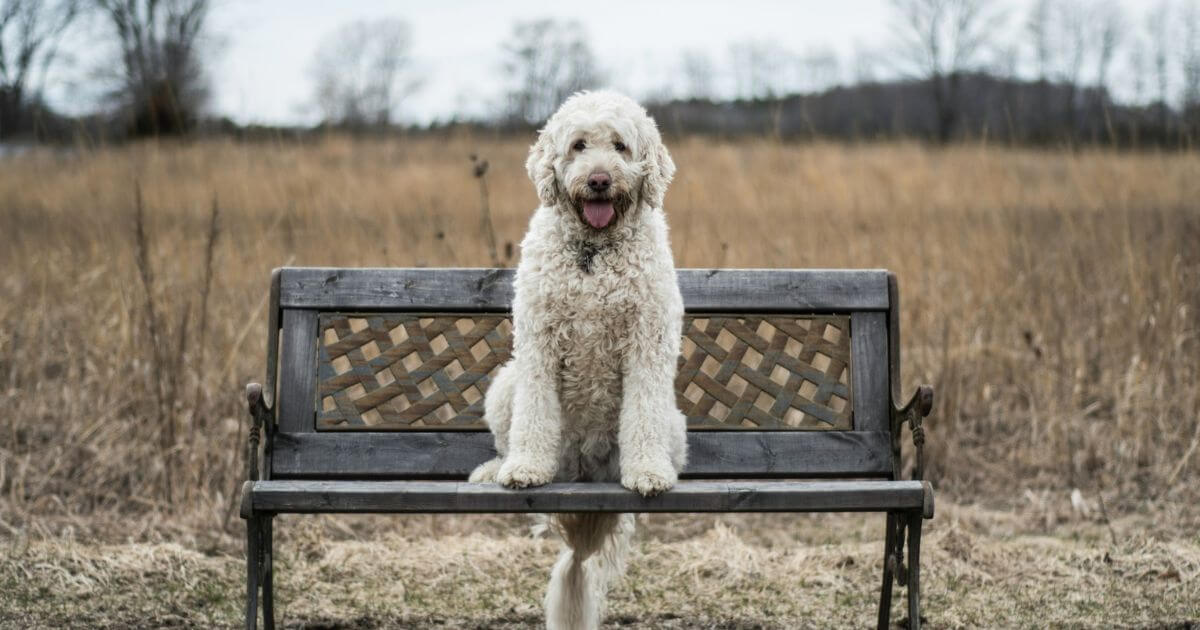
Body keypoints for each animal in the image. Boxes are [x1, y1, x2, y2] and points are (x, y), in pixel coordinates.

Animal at [465, 89, 686, 628]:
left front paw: (648, 474)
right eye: (579, 145)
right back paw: (496, 469)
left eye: (621, 146)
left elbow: (642, 415)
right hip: (506, 384)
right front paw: (525, 468)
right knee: (509, 436)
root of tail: (585, 471)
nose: (599, 179)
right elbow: (534, 418)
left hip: (672, 422)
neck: (594, 253)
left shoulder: (648, 342)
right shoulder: (538, 342)